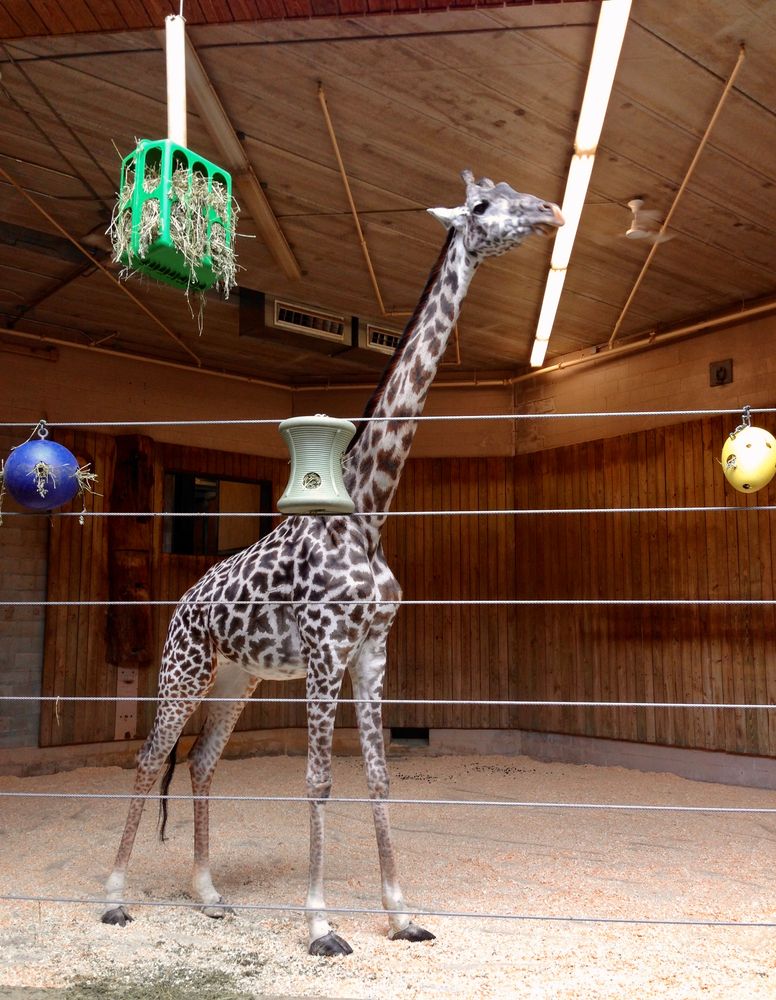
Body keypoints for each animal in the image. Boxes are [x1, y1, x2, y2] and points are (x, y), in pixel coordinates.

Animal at [100, 170, 563, 955]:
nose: (551, 210)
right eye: (482, 206)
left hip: (239, 676)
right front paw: (320, 924)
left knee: (199, 760)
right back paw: (114, 897)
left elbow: (378, 776)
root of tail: (185, 601)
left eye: (515, 193)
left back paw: (209, 895)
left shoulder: (373, 647)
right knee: (148, 757)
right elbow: (318, 779)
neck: (370, 511)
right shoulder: (325, 647)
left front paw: (402, 915)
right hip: (184, 665)